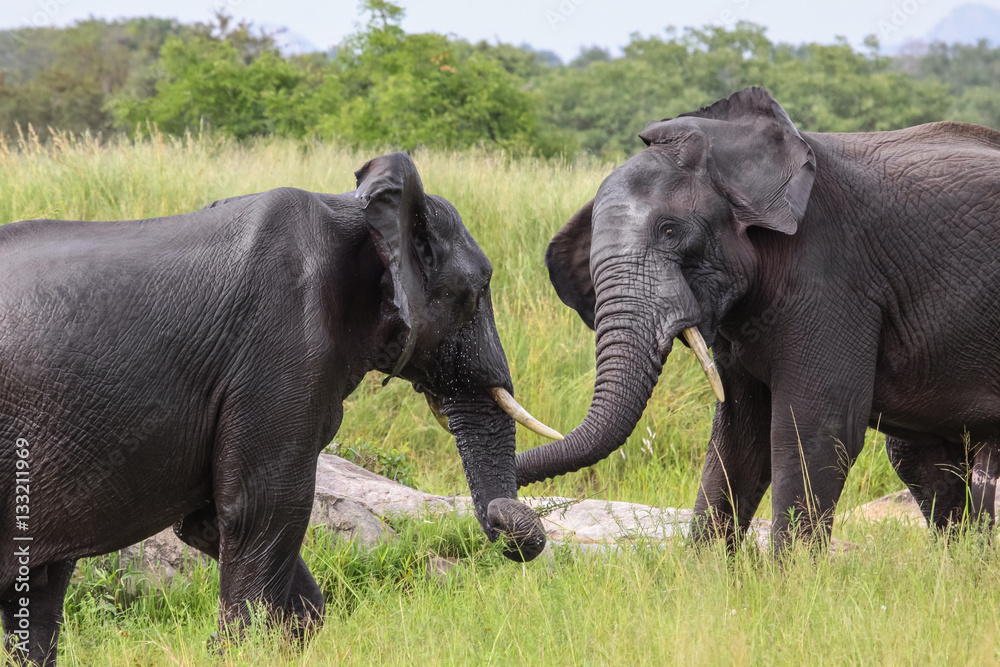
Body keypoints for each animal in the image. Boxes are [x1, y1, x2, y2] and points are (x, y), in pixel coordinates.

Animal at [0, 152, 556, 665]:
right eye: (476, 293)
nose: (506, 521)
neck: (357, 212)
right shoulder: (280, 347)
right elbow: (264, 506)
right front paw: (237, 648)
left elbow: (210, 519)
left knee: (40, 588)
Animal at [516, 86, 1000, 551]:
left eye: (670, 230)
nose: (518, 525)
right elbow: (739, 440)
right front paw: (707, 571)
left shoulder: (832, 275)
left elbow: (815, 430)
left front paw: (795, 577)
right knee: (920, 458)